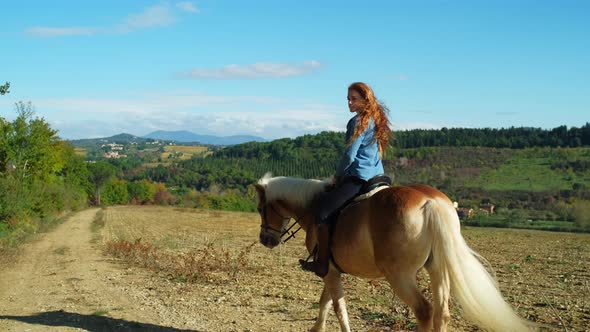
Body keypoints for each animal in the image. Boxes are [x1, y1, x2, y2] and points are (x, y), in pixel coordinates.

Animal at [254, 174, 532, 332]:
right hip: (437, 269)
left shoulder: (329, 271)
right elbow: (326, 302)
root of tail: (431, 201)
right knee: (441, 313)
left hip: (399, 276)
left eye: (260, 208)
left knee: (424, 310)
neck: (313, 207)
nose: (265, 240)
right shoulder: (332, 271)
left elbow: (338, 307)